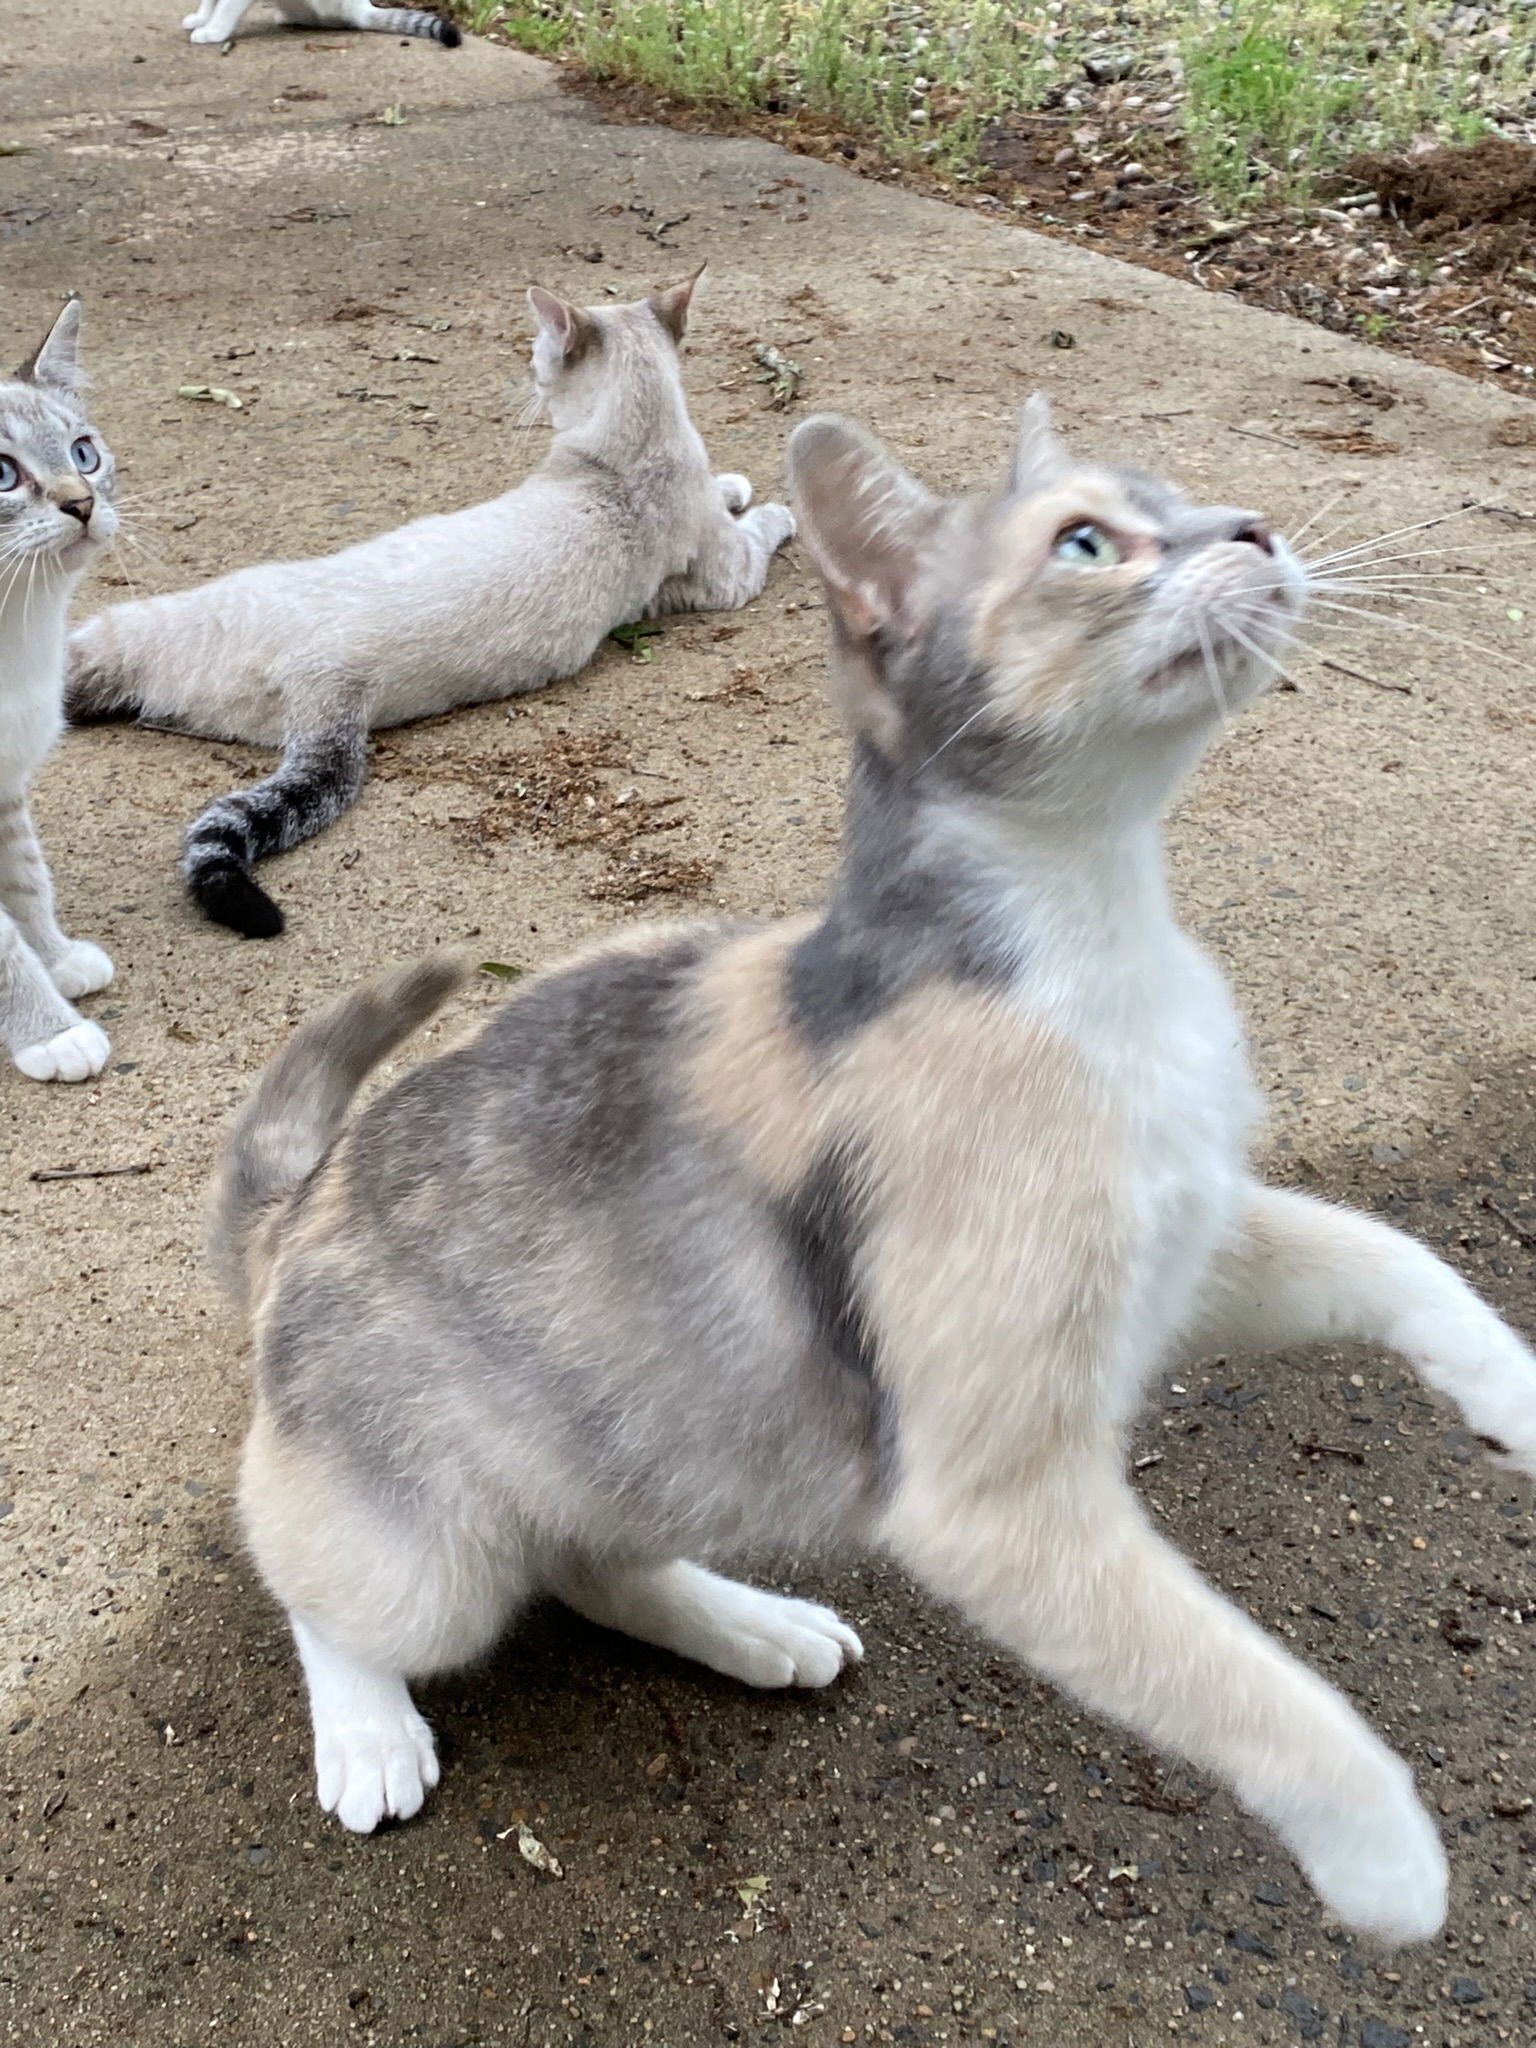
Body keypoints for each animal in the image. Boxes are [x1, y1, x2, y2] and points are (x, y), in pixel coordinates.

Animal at [67, 270, 794, 937]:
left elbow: (737, 499)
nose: (527, 376)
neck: (627, 446)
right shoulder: (728, 575)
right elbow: (761, 519)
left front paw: (742, 487)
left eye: (535, 355)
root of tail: (326, 676)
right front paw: (766, 500)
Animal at [214, 395, 1536, 1933]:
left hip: (659, 1427)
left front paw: (1508, 1386)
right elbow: (1248, 1683)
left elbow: (1392, 1252)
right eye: (1086, 544)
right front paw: (1384, 1851)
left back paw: (751, 1624)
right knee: (317, 1577)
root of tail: (295, 1207)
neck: (1093, 952)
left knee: (593, 1560)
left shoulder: (1184, 1250)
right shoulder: (995, 1498)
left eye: (1189, 499)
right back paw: (369, 1722)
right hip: (428, 1554)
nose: (1257, 530)